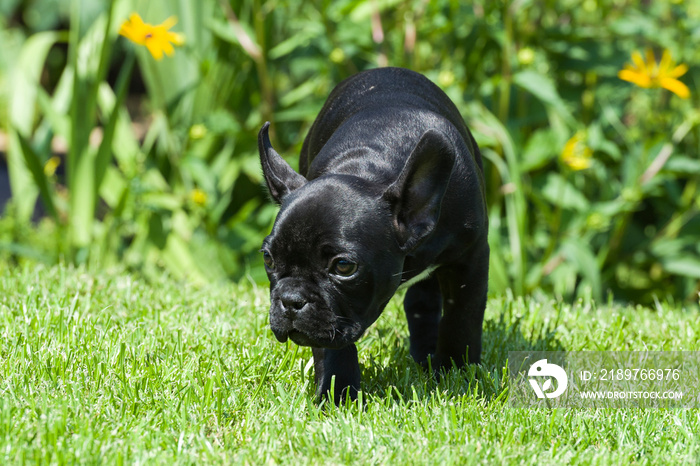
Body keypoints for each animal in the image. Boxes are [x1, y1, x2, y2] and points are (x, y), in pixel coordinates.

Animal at [258, 66, 486, 404]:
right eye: (269, 260)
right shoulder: (332, 321)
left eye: (343, 266)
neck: (369, 170)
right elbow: (331, 346)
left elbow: (462, 317)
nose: (290, 300)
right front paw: (337, 395)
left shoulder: (470, 257)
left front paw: (456, 373)